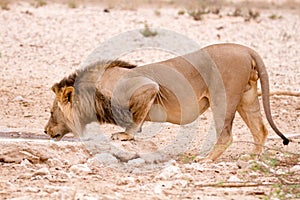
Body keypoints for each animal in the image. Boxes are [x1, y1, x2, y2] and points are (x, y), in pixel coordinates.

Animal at [45, 43, 290, 161]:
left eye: (51, 112)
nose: (45, 130)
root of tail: (246, 49)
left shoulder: (147, 87)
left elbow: (134, 121)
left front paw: (125, 135)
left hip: (223, 97)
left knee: (227, 135)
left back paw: (206, 160)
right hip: (247, 97)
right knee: (260, 130)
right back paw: (253, 157)